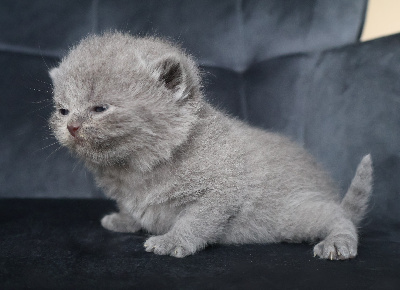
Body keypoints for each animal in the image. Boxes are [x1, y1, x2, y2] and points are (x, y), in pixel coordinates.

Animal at [49, 32, 372, 260]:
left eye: (100, 108)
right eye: (63, 110)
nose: (71, 126)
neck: (139, 167)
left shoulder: (221, 192)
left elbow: (195, 220)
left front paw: (171, 241)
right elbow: (132, 208)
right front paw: (124, 220)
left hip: (296, 214)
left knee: (339, 217)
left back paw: (337, 243)